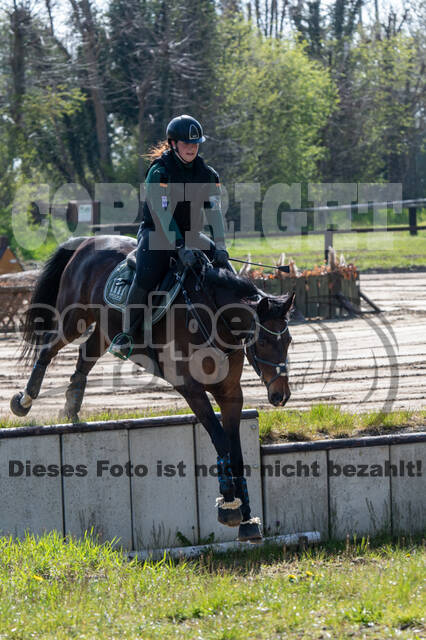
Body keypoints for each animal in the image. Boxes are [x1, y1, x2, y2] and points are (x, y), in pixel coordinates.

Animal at [10, 236, 292, 544]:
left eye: (288, 340)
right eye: (262, 342)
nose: (281, 396)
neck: (213, 319)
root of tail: (86, 241)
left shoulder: (230, 394)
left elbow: (237, 452)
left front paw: (248, 518)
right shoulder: (192, 390)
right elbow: (220, 441)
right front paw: (229, 505)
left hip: (104, 328)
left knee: (84, 358)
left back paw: (71, 409)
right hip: (72, 317)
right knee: (47, 350)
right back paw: (23, 402)